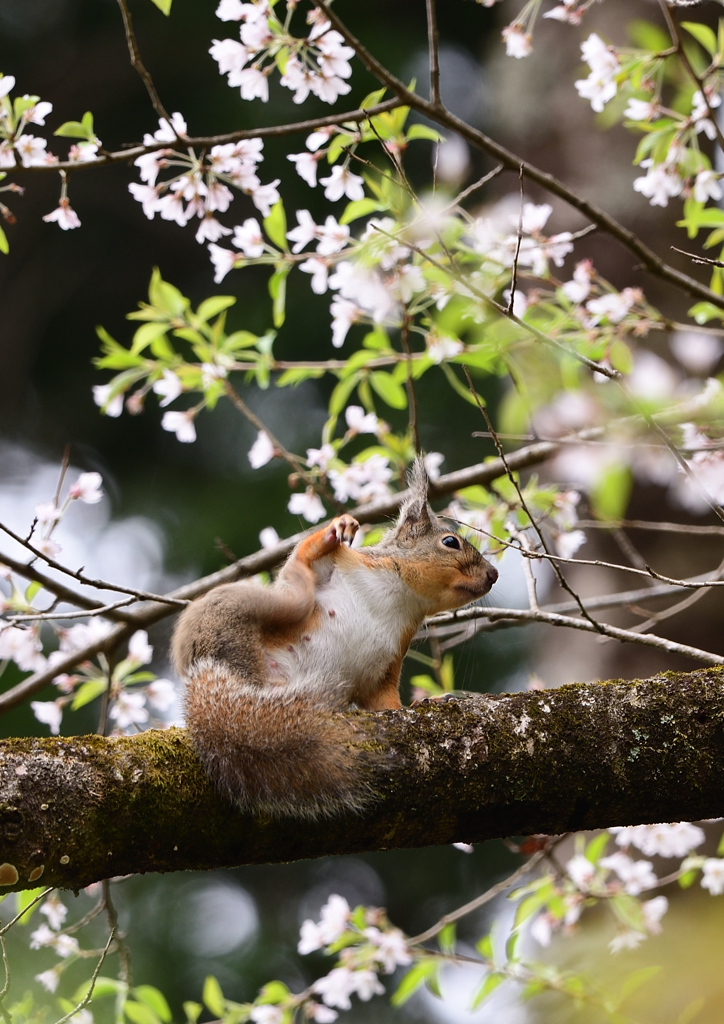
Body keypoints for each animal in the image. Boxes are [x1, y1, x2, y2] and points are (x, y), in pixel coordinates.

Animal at [171, 460, 497, 819]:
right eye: (450, 542)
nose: (493, 575)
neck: (402, 597)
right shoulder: (338, 565)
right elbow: (304, 556)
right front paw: (338, 526)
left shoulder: (387, 662)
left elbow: (385, 702)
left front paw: (427, 702)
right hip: (234, 629)